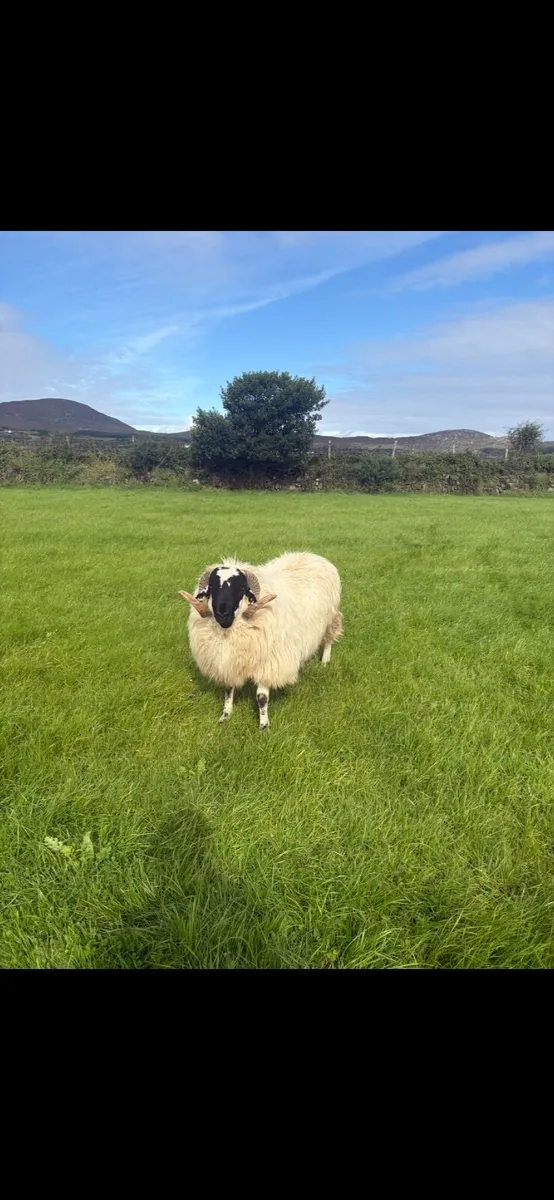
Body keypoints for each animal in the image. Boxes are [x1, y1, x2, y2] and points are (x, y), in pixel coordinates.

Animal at [178, 552, 342, 730]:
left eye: (241, 588)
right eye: (211, 588)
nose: (223, 615)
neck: (229, 632)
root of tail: (311, 554)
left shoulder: (269, 664)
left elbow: (261, 697)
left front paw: (264, 725)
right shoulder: (229, 663)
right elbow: (228, 690)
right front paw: (225, 715)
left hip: (331, 618)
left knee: (328, 640)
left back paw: (325, 661)